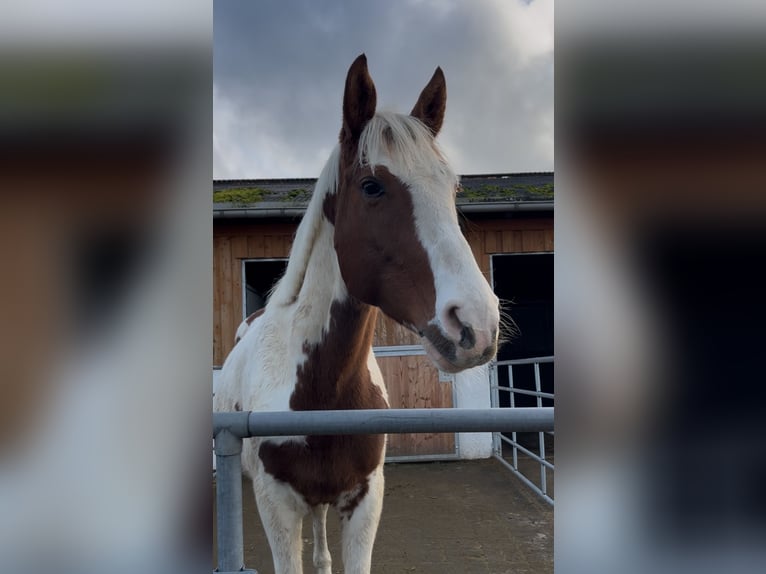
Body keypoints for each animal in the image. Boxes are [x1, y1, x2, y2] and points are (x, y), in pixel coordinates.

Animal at [214, 54, 504, 574]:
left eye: (452, 190)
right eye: (372, 186)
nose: (475, 324)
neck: (320, 390)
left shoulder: (365, 501)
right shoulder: (275, 507)